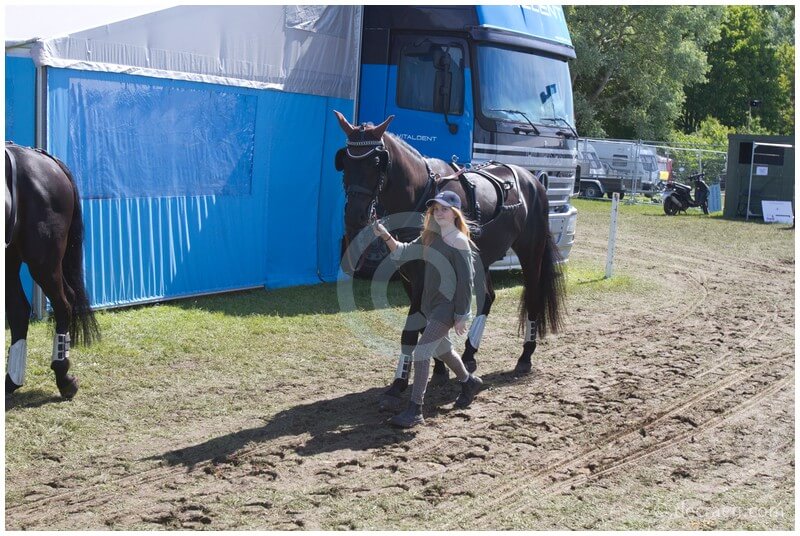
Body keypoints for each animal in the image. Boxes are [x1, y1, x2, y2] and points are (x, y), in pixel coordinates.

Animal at [5, 142, 99, 399]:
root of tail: (43, 158)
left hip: (43, 261)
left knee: (64, 303)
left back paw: (63, 377)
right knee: (18, 312)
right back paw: (11, 381)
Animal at [333, 112, 565, 410]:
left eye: (376, 162)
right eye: (345, 161)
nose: (354, 216)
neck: (421, 193)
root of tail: (534, 180)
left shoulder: (426, 274)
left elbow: (411, 331)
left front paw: (400, 382)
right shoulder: (410, 275)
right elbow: (425, 323)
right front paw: (440, 368)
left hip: (530, 252)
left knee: (534, 296)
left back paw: (525, 356)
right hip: (481, 256)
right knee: (487, 297)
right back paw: (469, 354)